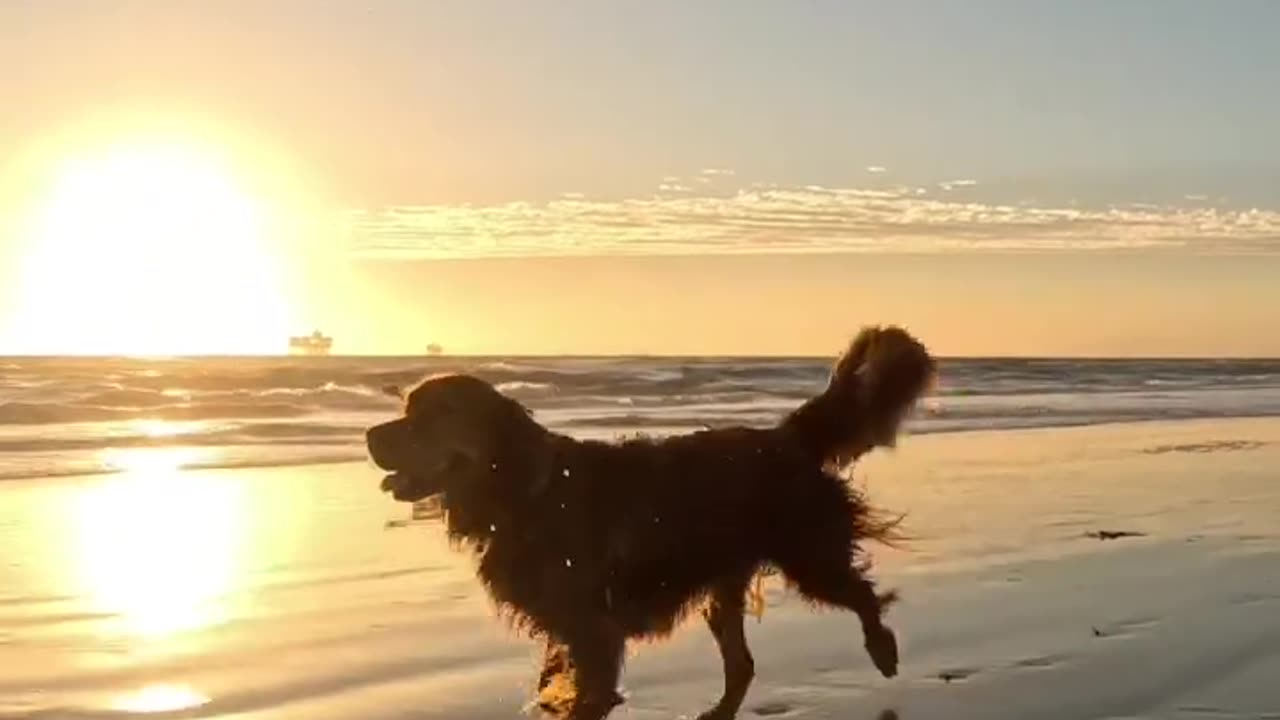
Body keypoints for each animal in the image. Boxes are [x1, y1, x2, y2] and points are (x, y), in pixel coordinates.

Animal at [366, 326, 936, 717]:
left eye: (431, 416)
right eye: (406, 408)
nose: (370, 435)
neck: (525, 490)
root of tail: (786, 436)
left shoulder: (593, 628)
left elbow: (589, 694)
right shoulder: (566, 623)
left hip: (808, 552)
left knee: (860, 594)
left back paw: (882, 649)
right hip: (725, 582)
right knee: (741, 664)